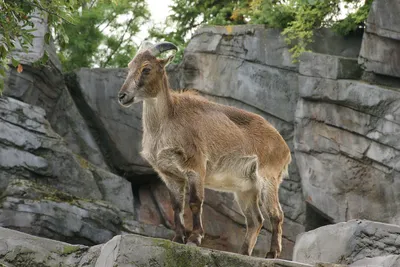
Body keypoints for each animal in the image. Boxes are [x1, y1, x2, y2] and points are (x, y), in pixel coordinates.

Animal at [116, 42, 290, 260]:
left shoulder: (195, 166)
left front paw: (195, 238)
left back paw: (272, 253)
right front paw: (177, 238)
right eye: (130, 67)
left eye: (146, 69)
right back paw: (243, 253)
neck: (167, 121)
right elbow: (176, 207)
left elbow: (195, 202)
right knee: (255, 220)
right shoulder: (170, 175)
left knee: (276, 214)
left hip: (268, 178)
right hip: (245, 188)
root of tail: (284, 147)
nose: (122, 96)